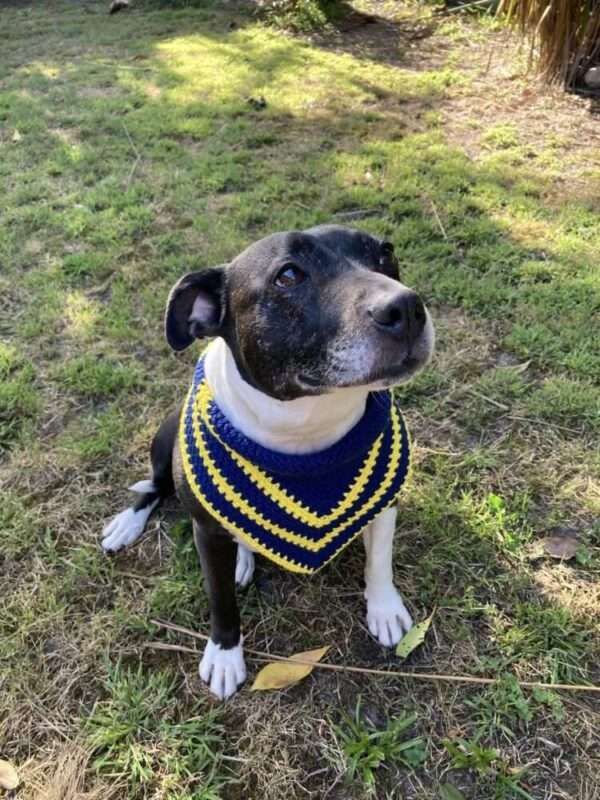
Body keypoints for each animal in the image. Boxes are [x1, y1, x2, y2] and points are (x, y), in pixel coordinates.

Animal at [101, 227, 434, 700]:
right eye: (289, 275)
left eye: (385, 254)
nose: (405, 307)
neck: (305, 423)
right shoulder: (206, 531)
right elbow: (220, 598)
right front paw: (225, 655)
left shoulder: (384, 500)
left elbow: (380, 560)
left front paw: (384, 609)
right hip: (164, 438)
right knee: (155, 486)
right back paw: (129, 525)